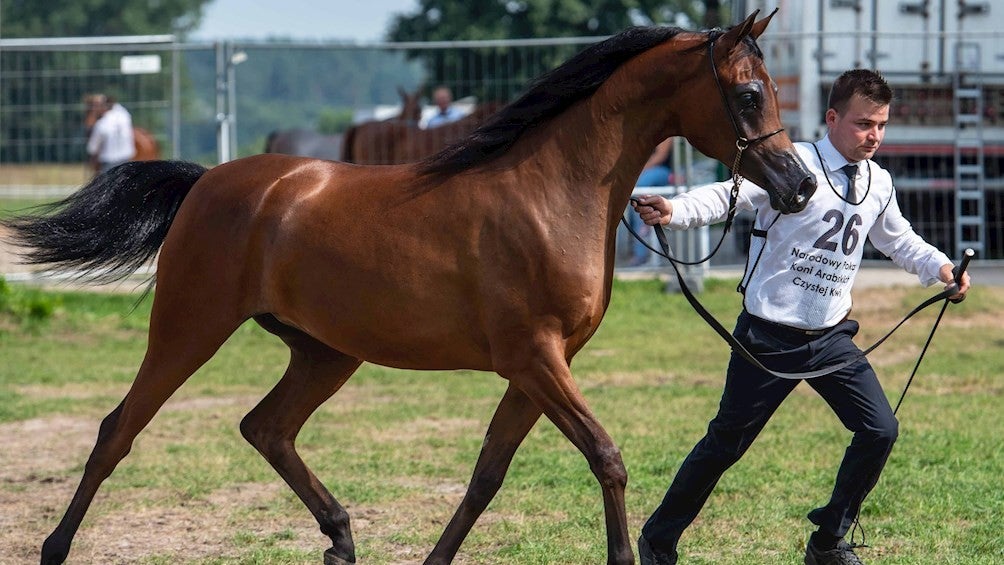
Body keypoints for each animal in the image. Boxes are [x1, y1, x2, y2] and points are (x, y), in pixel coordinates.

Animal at [7, 12, 815, 565]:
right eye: (749, 95)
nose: (799, 186)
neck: (552, 190)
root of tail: (208, 181)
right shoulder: (535, 357)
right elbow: (605, 455)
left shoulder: (540, 368)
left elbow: (488, 473)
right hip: (188, 327)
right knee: (118, 430)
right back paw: (54, 548)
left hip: (326, 351)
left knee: (266, 427)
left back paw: (339, 538)